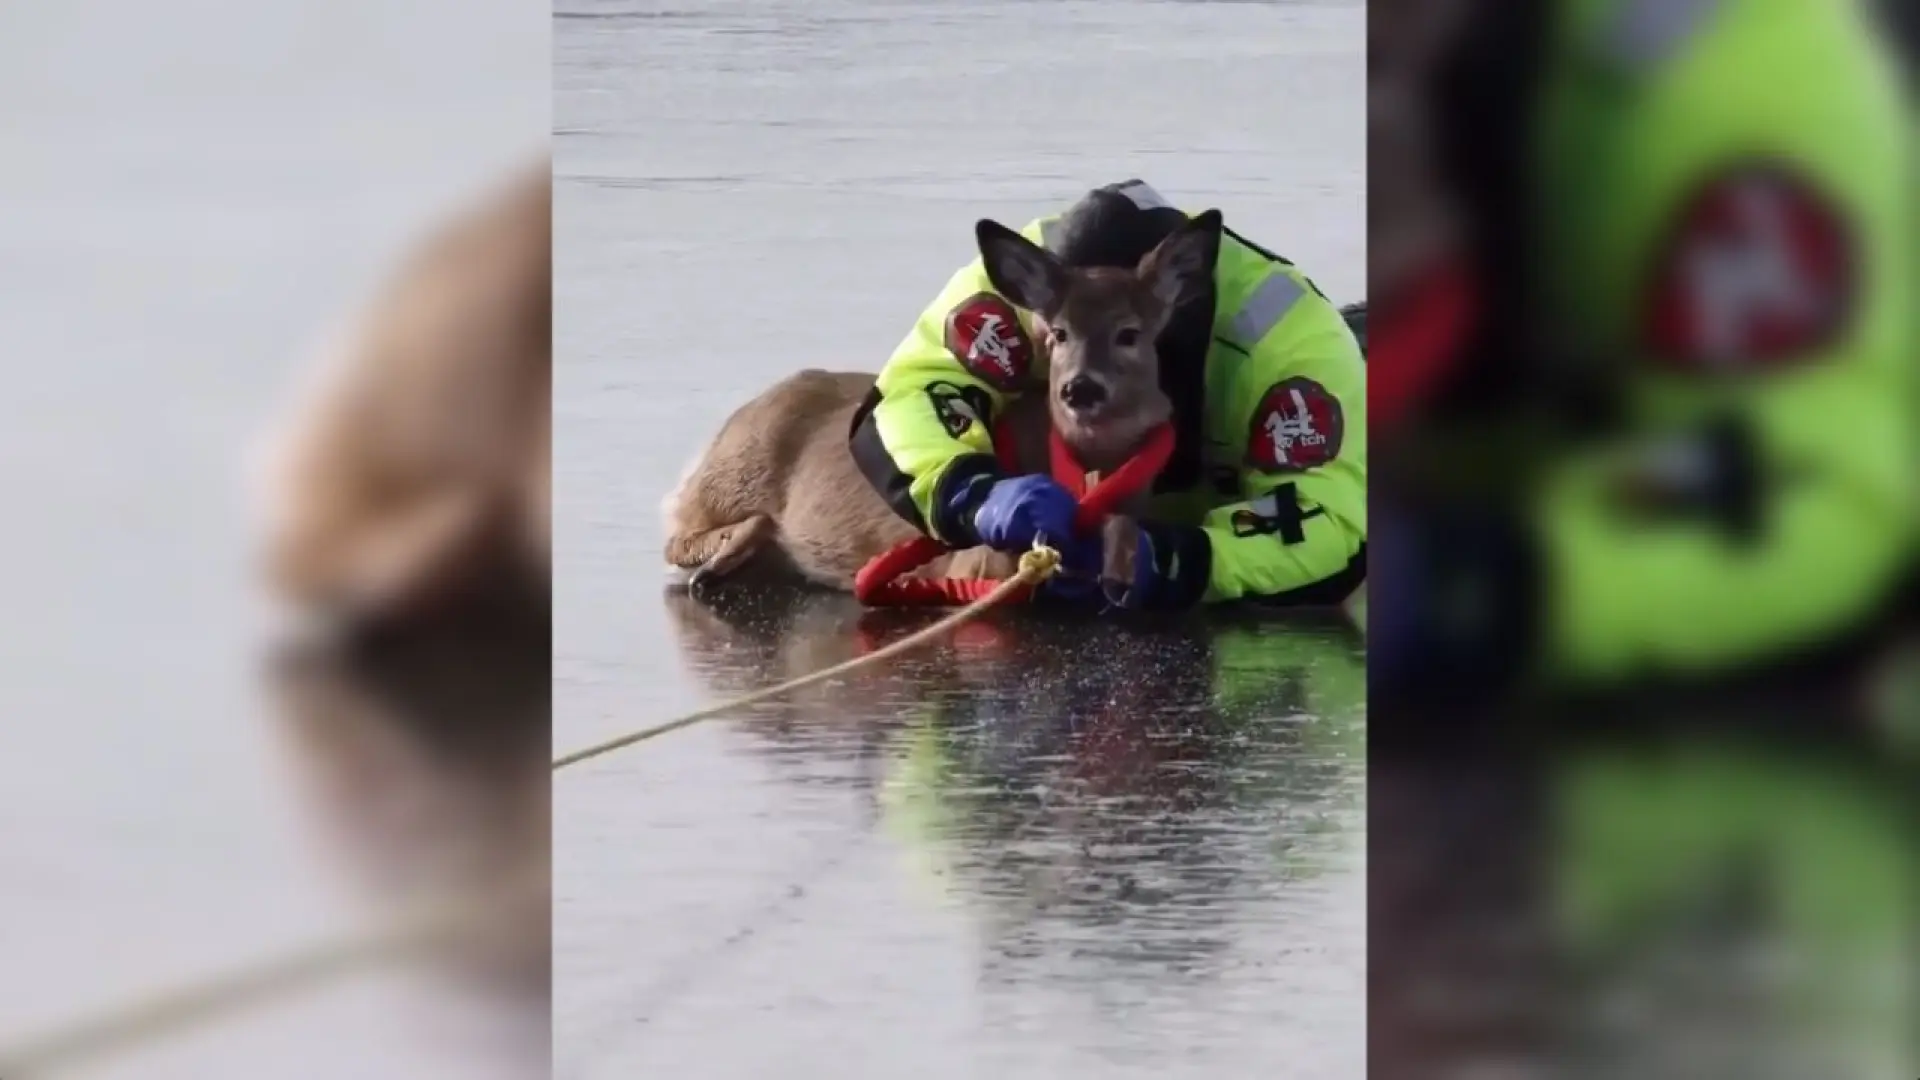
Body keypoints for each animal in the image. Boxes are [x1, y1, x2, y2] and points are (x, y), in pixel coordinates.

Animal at [663, 208, 1222, 600]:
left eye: (1130, 333)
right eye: (1059, 332)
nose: (1080, 389)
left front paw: (1126, 568)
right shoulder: (961, 564)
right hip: (728, 477)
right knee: (680, 534)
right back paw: (720, 563)